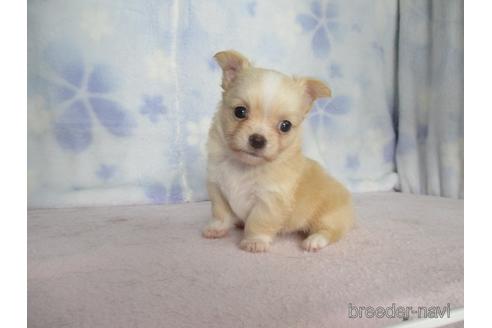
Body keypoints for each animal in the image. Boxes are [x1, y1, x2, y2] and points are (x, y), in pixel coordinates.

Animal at [202, 50, 356, 252]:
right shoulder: (218, 189)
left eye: (285, 126)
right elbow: (221, 214)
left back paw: (315, 240)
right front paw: (217, 229)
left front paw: (254, 241)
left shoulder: (269, 201)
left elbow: (258, 222)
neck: (244, 166)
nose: (257, 139)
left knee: (331, 231)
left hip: (327, 215)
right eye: (240, 112)